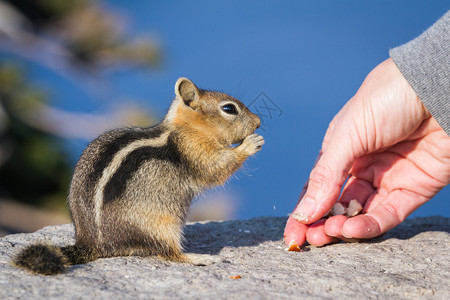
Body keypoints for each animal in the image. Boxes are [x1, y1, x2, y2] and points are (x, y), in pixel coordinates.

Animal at [11, 77, 264, 274]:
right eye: (229, 109)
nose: (259, 122)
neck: (185, 129)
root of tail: (92, 244)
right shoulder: (194, 150)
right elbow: (216, 168)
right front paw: (251, 144)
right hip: (162, 225)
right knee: (169, 253)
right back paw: (199, 258)